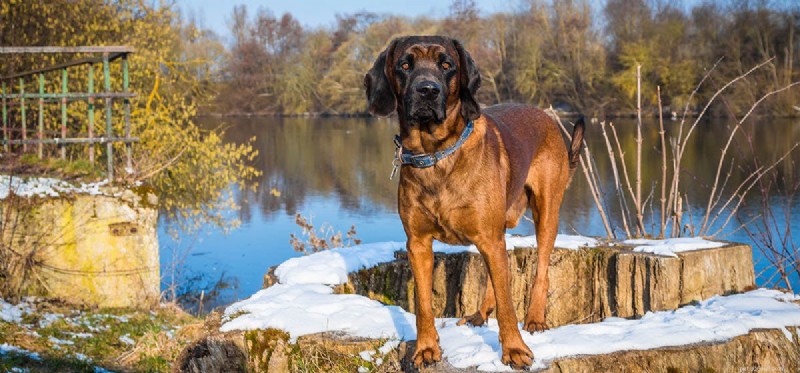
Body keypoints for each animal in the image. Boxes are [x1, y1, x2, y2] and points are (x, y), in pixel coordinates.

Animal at [362, 36, 580, 368]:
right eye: (405, 64)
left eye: (446, 64)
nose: (427, 90)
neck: (437, 153)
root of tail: (547, 117)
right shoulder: (418, 243)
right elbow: (423, 304)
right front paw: (426, 349)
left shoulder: (489, 236)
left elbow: (507, 303)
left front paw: (515, 350)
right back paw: (480, 313)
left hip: (546, 211)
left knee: (540, 268)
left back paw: (534, 318)